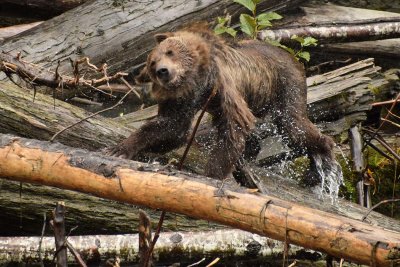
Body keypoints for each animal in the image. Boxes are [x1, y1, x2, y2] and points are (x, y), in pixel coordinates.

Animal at [109, 27, 338, 186]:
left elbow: (234, 126)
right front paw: (120, 149)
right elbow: (172, 126)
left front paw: (211, 175)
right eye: (153, 63)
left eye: (170, 52)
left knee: (293, 126)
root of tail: (291, 55)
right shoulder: (186, 99)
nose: (162, 71)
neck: (201, 81)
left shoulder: (225, 87)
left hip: (286, 85)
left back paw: (320, 162)